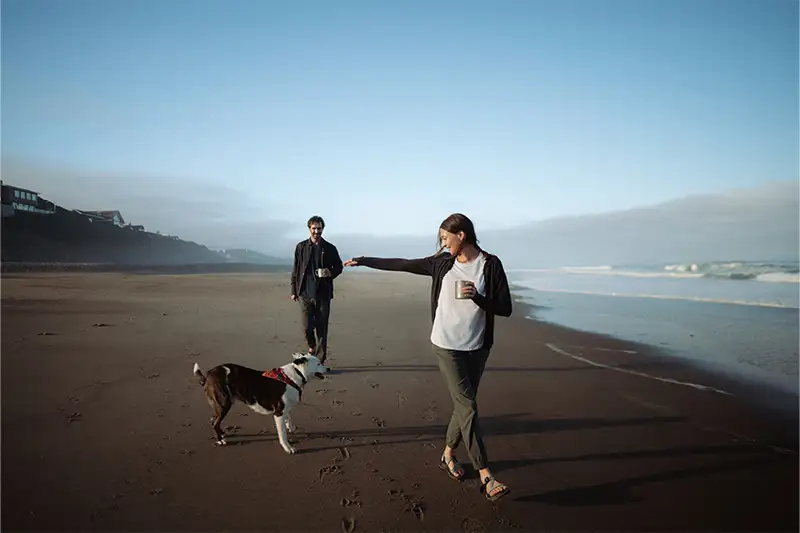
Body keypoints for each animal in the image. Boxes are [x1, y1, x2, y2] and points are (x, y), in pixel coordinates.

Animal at [192, 354, 330, 454]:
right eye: (318, 363)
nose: (328, 368)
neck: (296, 375)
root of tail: (208, 374)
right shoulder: (278, 412)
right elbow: (282, 434)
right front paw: (287, 447)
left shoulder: (284, 408)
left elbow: (288, 416)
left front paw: (290, 426)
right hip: (223, 403)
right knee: (215, 421)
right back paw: (220, 440)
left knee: (214, 419)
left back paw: (221, 433)